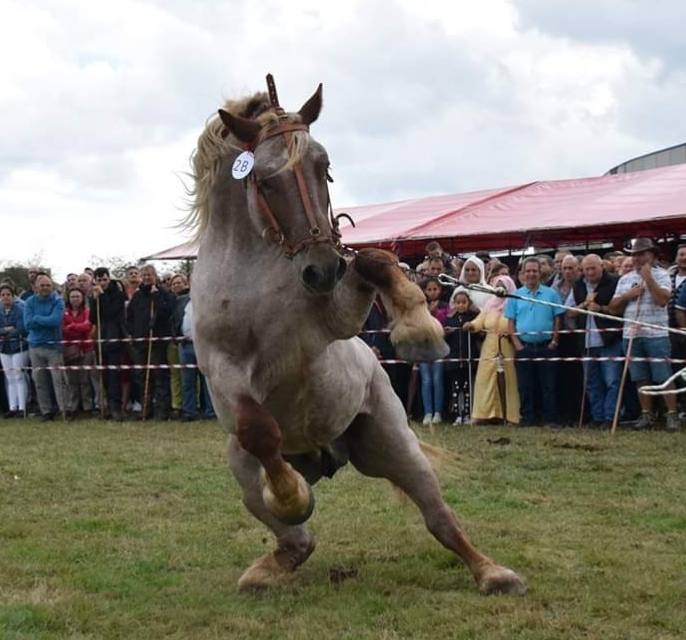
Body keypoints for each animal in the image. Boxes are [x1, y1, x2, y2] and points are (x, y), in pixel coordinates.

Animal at [189, 75, 528, 596]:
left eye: (323, 166)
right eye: (263, 179)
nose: (322, 269)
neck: (257, 276)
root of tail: (325, 459)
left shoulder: (338, 322)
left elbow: (373, 260)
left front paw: (419, 333)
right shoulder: (222, 368)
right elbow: (258, 428)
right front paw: (291, 497)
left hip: (393, 442)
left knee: (439, 517)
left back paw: (492, 572)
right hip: (242, 468)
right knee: (298, 539)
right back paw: (267, 564)